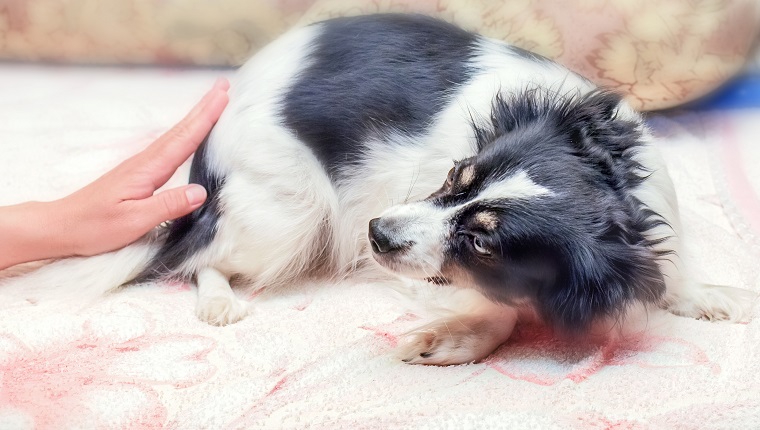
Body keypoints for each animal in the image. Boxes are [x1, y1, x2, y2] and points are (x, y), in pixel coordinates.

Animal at [4, 15, 756, 364]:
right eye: (452, 176)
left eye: (487, 245)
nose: (376, 234)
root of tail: (205, 162)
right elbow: (494, 310)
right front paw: (452, 339)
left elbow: (675, 269)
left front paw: (708, 294)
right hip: (288, 214)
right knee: (201, 261)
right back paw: (218, 301)